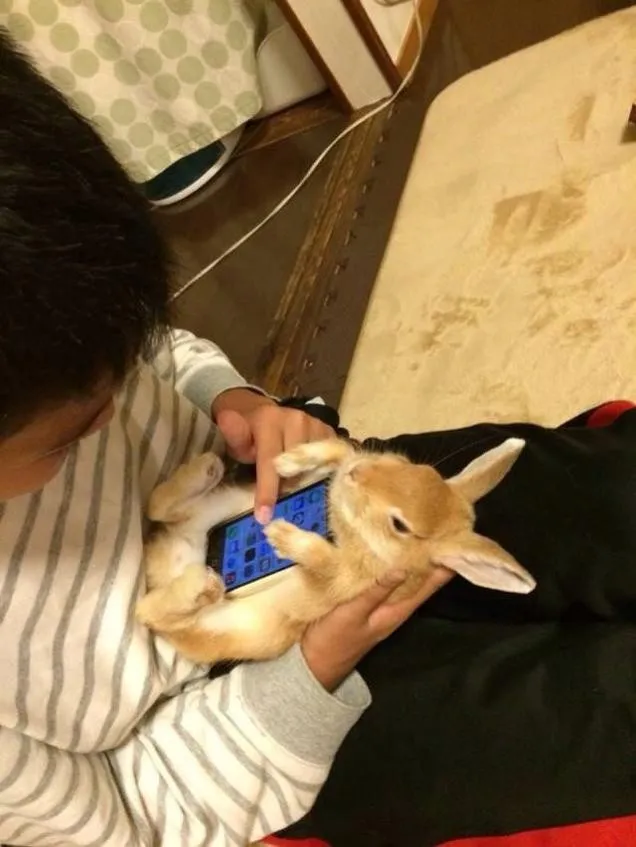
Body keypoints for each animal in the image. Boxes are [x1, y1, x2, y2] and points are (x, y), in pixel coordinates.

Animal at [136, 437, 535, 665]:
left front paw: (281, 534)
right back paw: (206, 468)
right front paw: (286, 462)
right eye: (414, 466)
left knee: (149, 610)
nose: (357, 474)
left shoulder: (347, 580)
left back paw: (201, 583)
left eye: (400, 526)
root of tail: (172, 555)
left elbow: (326, 560)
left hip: (221, 626)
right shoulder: (331, 470)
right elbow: (336, 448)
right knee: (157, 507)